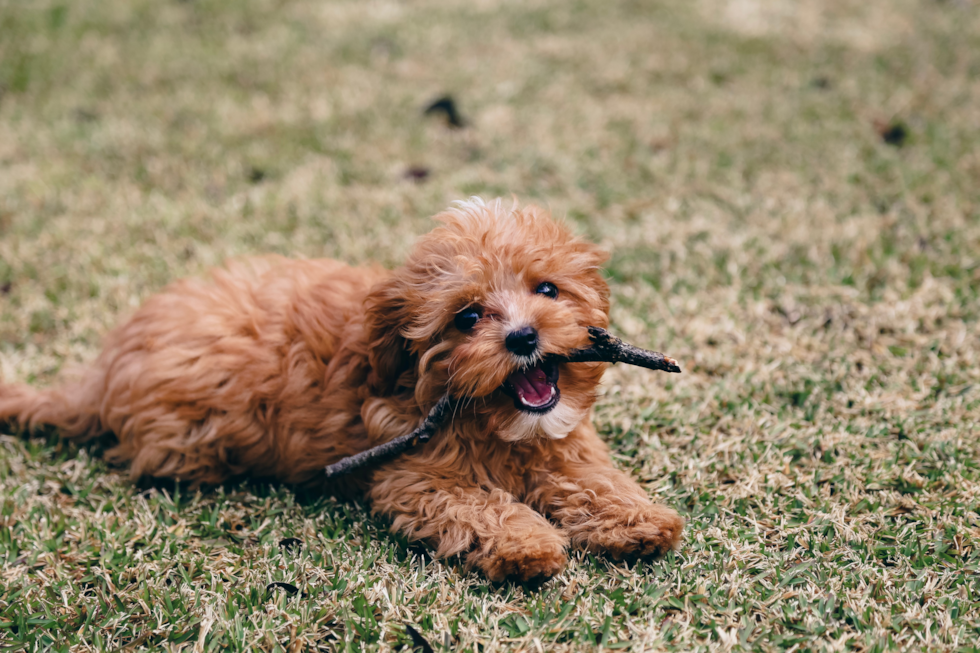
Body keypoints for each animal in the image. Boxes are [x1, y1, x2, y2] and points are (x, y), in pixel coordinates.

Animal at [1, 199, 680, 580]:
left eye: (547, 290)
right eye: (467, 317)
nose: (522, 337)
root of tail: (103, 368)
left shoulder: (563, 443)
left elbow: (590, 475)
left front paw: (638, 517)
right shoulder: (412, 477)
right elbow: (480, 505)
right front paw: (527, 544)